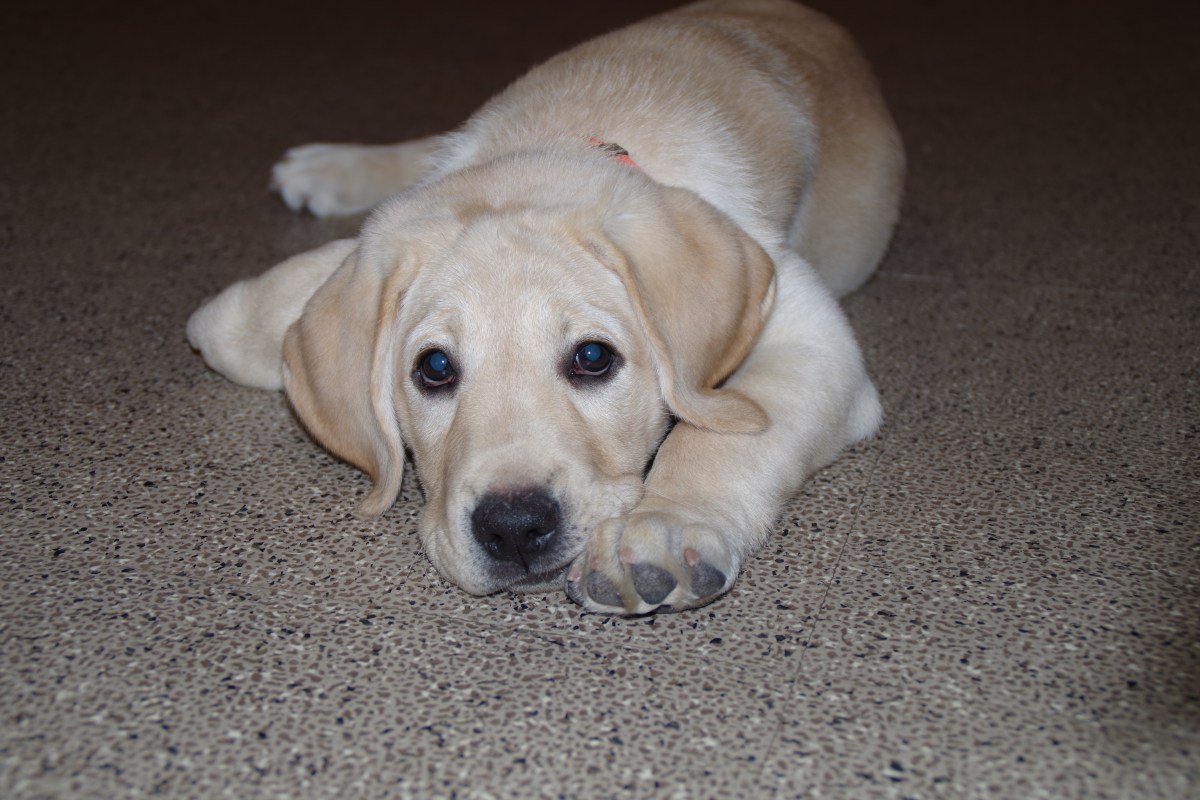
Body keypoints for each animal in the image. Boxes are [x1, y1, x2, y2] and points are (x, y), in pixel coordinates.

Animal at [186, 0, 904, 614]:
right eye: (434, 369)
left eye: (592, 357)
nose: (514, 527)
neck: (562, 137)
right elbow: (301, 289)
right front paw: (239, 313)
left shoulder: (812, 338)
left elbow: (717, 436)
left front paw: (662, 525)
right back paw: (330, 166)